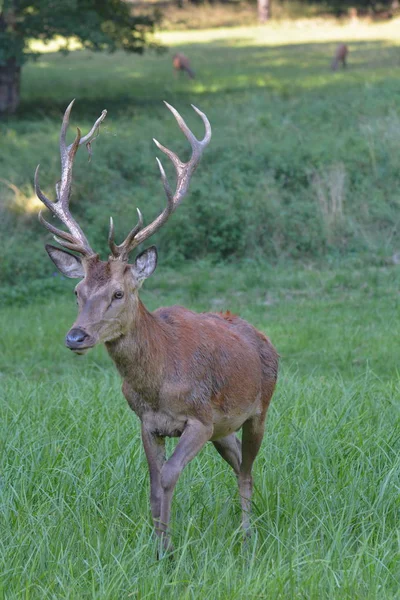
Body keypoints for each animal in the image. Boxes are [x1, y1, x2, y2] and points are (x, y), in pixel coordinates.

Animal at [35, 99, 278, 552]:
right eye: (77, 290)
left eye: (118, 293)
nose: (76, 336)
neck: (158, 381)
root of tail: (261, 336)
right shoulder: (148, 422)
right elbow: (152, 482)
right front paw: (156, 545)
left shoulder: (200, 417)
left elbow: (167, 477)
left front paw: (166, 549)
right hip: (224, 428)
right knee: (239, 460)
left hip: (259, 408)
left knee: (248, 469)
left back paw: (247, 534)